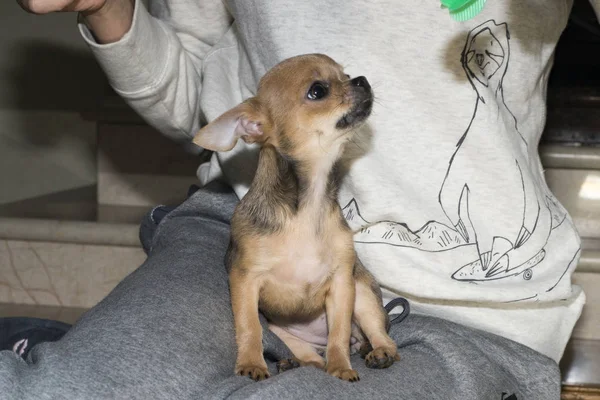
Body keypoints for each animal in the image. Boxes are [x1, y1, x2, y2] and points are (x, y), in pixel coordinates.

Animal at [192, 53, 398, 382]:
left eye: (345, 75)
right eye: (318, 91)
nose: (361, 80)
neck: (307, 208)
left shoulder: (343, 284)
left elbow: (338, 333)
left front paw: (341, 367)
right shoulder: (245, 281)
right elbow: (250, 327)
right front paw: (251, 363)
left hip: (364, 294)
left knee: (379, 335)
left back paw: (379, 353)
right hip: (284, 330)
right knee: (311, 358)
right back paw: (293, 363)